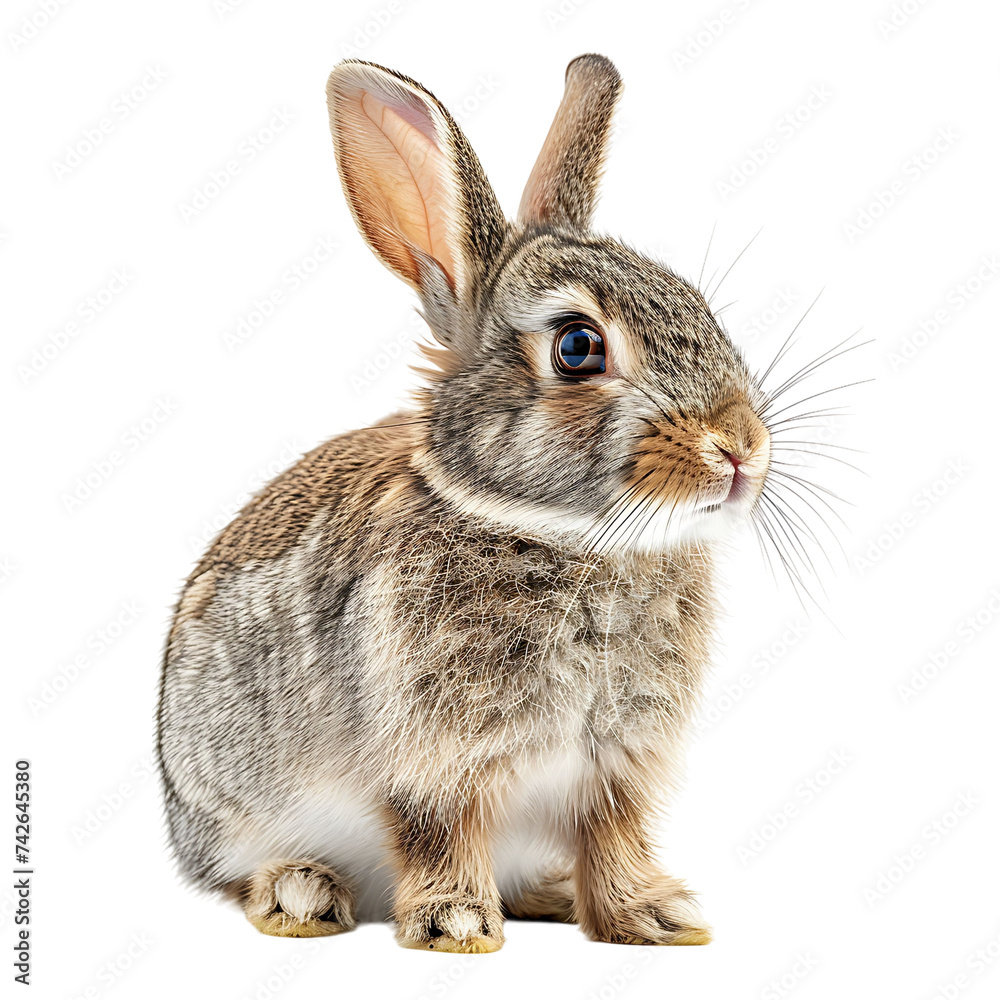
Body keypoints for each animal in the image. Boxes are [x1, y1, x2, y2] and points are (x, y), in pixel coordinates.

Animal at [156, 53, 774, 953]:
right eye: (578, 347)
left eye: (696, 303)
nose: (740, 448)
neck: (572, 538)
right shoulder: (433, 758)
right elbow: (436, 828)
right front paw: (456, 924)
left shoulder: (615, 767)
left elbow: (614, 838)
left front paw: (656, 917)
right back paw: (302, 893)